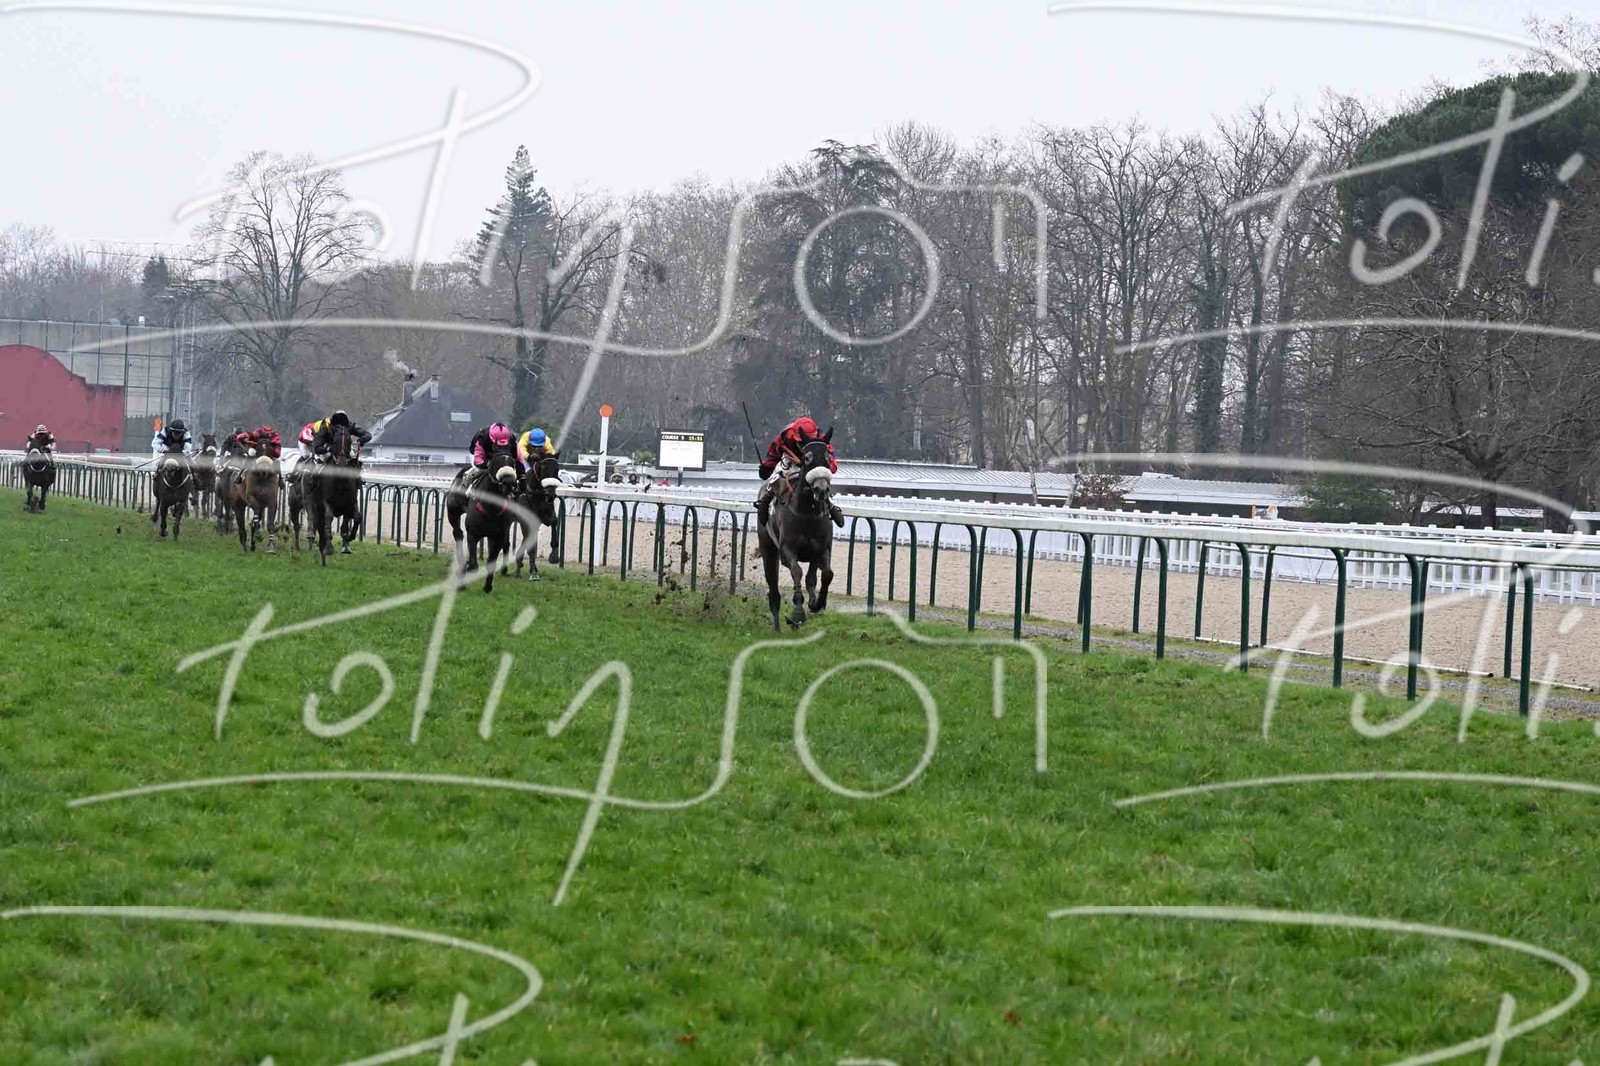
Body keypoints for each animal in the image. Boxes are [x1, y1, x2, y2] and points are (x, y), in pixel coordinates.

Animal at [291, 425, 363, 564]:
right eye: (334, 441)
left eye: (349, 441)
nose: (342, 463)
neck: (340, 481)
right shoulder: (323, 502)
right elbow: (328, 517)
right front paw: (329, 548)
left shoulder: (351, 503)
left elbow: (357, 517)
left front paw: (348, 538)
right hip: (297, 505)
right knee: (301, 524)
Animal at [445, 444, 521, 594]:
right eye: (496, 462)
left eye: (513, 463)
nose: (509, 482)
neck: (491, 507)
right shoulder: (472, 533)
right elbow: (473, 565)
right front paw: (463, 580)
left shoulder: (498, 536)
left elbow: (491, 562)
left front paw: (488, 586)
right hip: (453, 511)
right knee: (458, 533)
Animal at [513, 451, 563, 581]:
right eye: (544, 468)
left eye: (557, 469)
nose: (551, 494)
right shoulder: (526, 521)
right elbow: (531, 547)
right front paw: (533, 573)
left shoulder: (544, 516)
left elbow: (554, 521)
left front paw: (554, 556)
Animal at [757, 436, 837, 630]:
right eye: (807, 458)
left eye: (828, 457)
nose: (821, 489)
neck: (807, 513)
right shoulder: (787, 551)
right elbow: (797, 572)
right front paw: (797, 612)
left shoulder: (822, 550)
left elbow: (826, 574)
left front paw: (817, 603)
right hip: (768, 549)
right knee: (774, 592)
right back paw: (777, 627)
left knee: (811, 577)